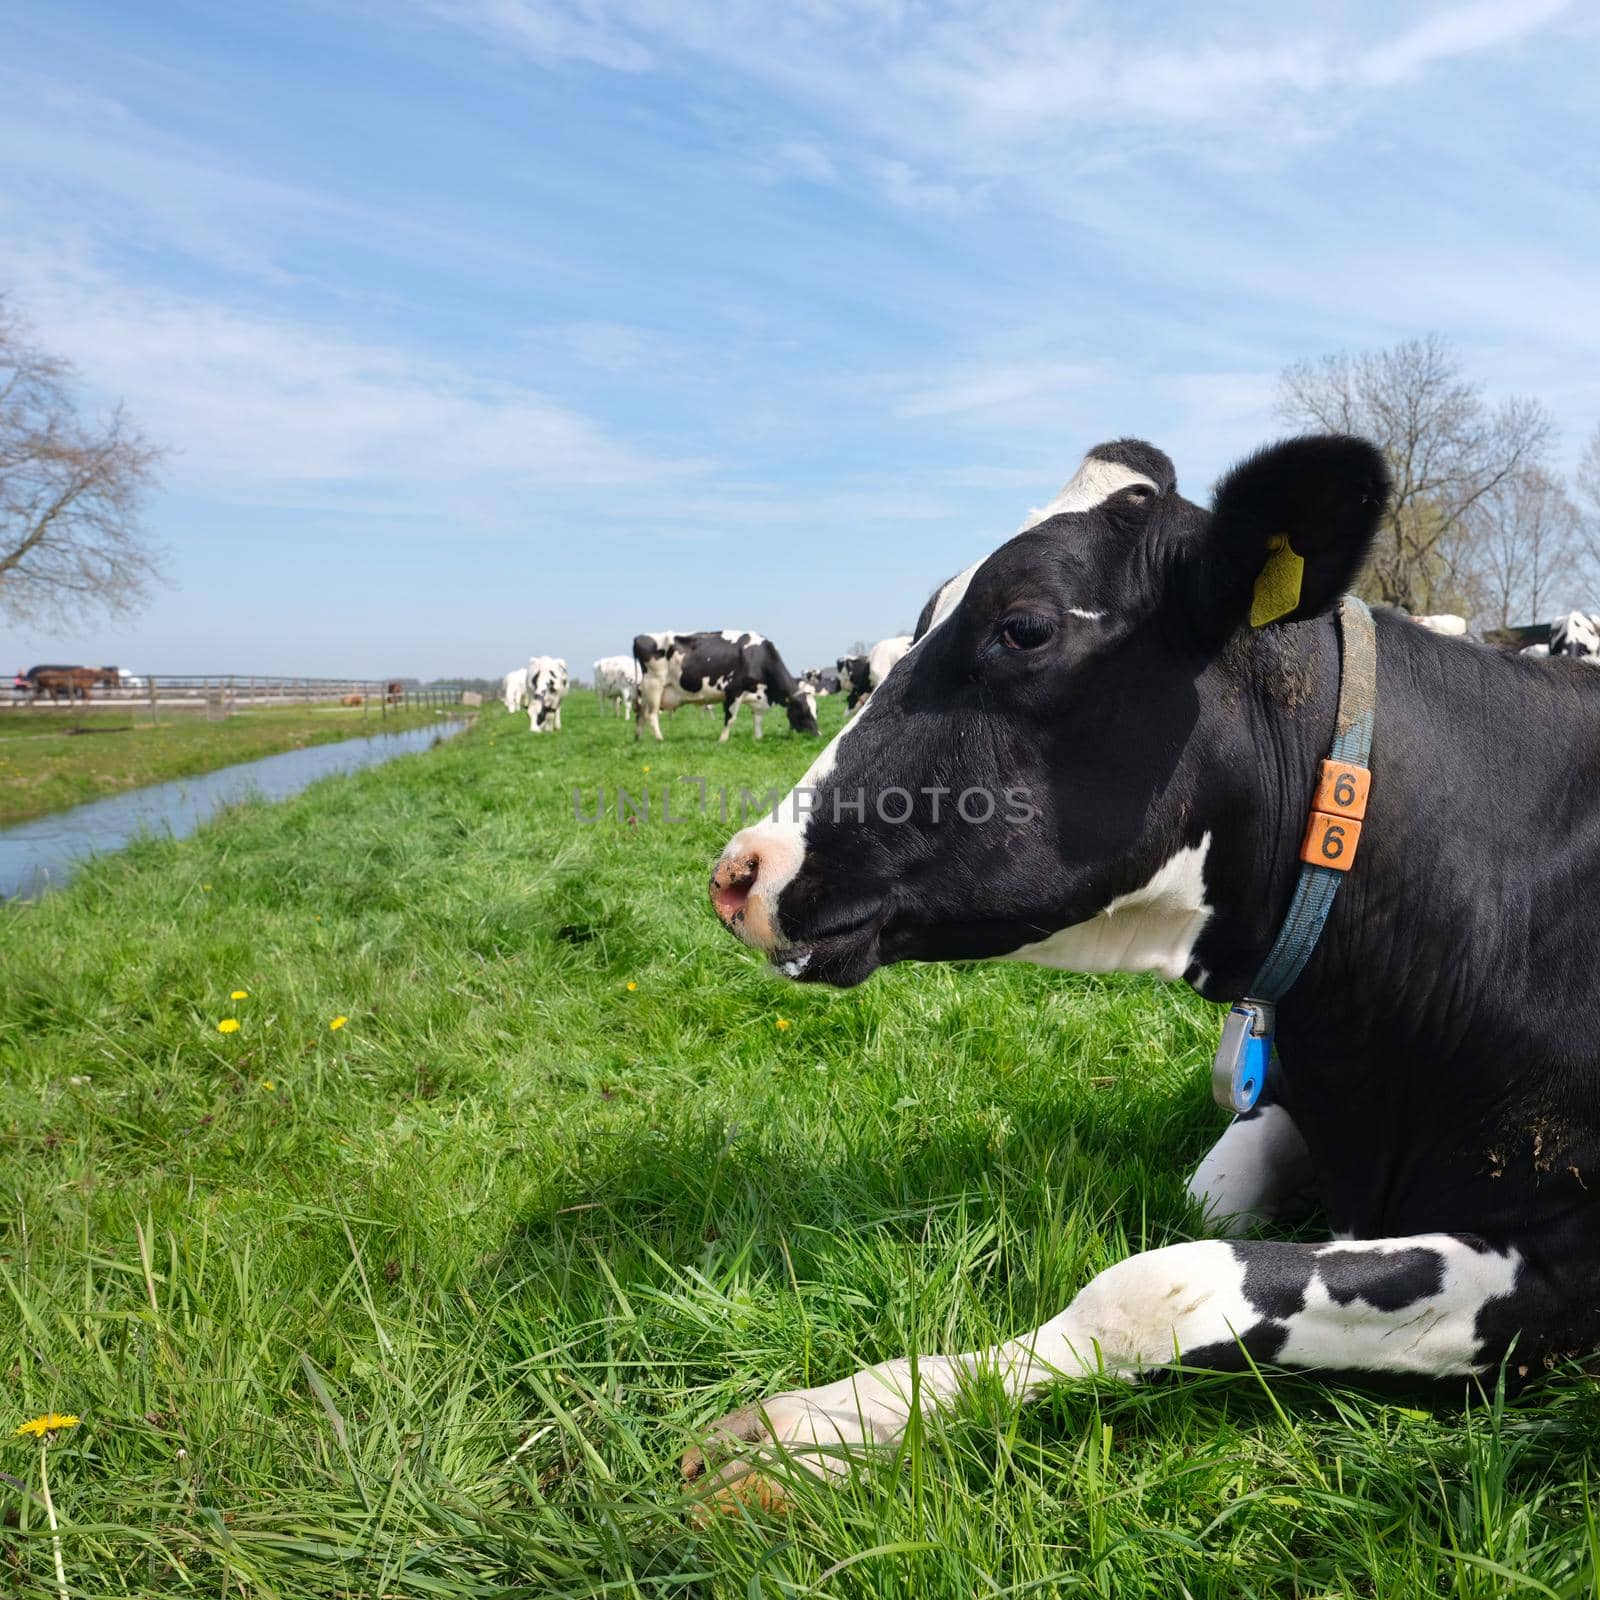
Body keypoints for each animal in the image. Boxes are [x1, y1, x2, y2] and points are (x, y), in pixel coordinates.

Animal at [630, 630, 819, 742]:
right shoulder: (733, 691)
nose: (818, 735)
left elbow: (758, 719)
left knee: (640, 714)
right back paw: (660, 739)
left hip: (645, 691)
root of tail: (640, 636)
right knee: (651, 715)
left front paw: (758, 738)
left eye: (816, 710)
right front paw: (722, 740)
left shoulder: (758, 696)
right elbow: (730, 718)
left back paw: (638, 738)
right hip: (654, 685)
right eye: (804, 711)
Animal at [684, 435, 1600, 1510]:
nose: (739, 873)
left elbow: (1156, 1284)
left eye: (1024, 628)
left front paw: (814, 1430)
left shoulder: (1564, 1257)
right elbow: (1207, 1194)